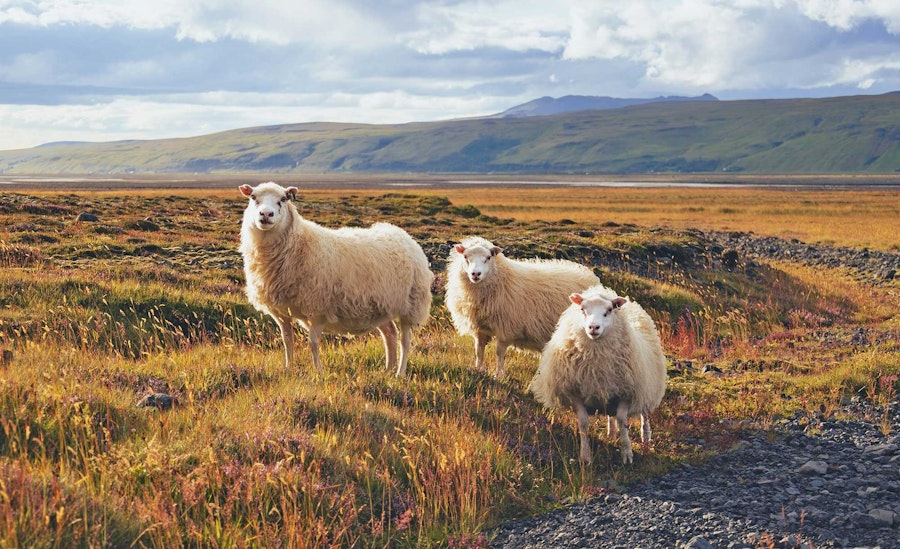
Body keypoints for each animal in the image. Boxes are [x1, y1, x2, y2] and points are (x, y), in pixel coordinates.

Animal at [238, 182, 433, 376]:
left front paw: (319, 372)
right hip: (382, 307)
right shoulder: (282, 311)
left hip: (411, 305)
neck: (298, 244)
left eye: (283, 199)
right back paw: (387, 370)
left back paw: (400, 373)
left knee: (405, 341)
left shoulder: (317, 309)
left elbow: (313, 343)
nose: (265, 214)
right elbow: (287, 341)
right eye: (253, 197)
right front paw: (288, 369)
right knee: (390, 333)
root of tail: (402, 234)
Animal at [445, 236, 600, 378]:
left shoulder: (506, 327)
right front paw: (478, 370)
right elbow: (479, 350)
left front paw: (498, 375)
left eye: (488, 257)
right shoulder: (480, 328)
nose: (475, 274)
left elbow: (499, 353)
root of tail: (590, 276)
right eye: (465, 257)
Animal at [529, 285, 667, 464]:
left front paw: (627, 453)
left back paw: (646, 438)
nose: (593, 327)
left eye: (609, 310)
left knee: (644, 413)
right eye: (582, 309)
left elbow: (622, 420)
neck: (597, 361)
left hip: (646, 383)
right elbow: (583, 423)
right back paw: (611, 433)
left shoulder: (627, 392)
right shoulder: (575, 392)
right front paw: (585, 455)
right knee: (610, 414)